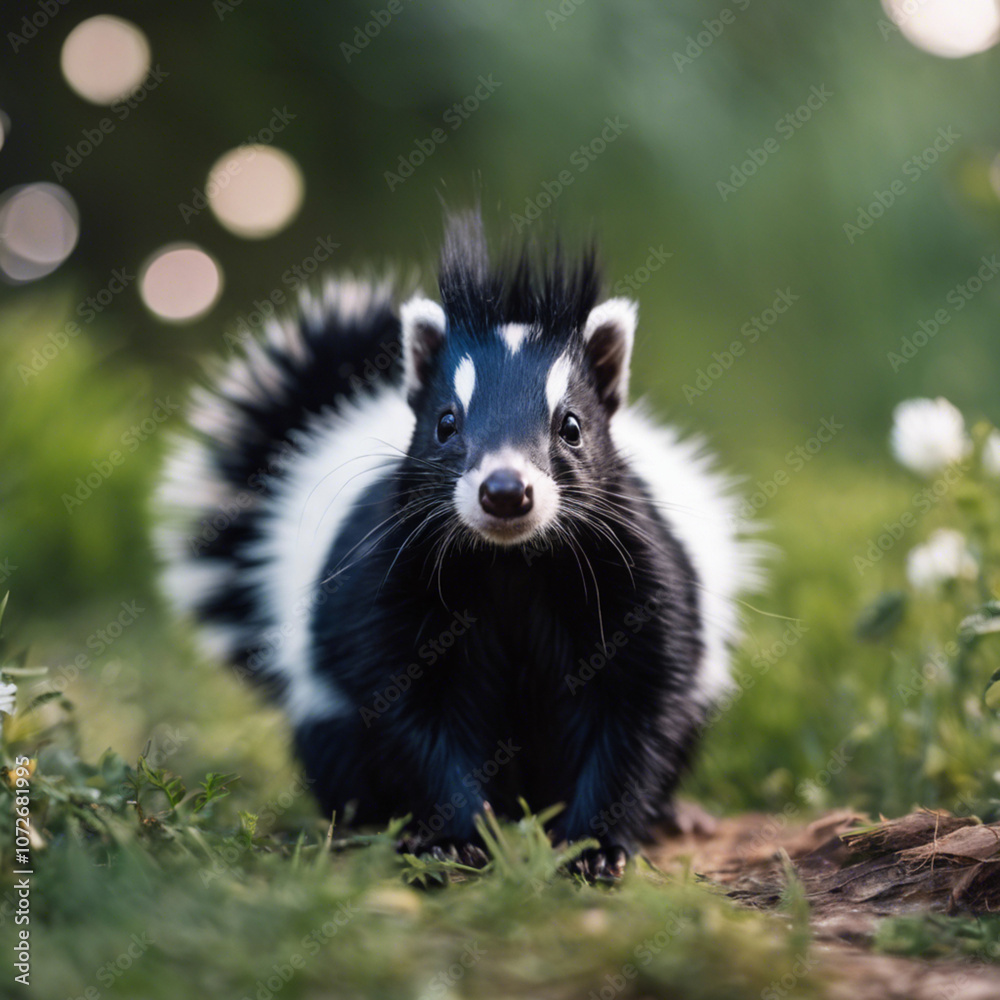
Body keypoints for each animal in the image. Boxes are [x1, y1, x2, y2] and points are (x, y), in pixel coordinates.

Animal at [158, 211, 756, 876]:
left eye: (571, 427)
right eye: (447, 423)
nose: (505, 490)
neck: (513, 565)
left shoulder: (630, 574)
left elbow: (638, 706)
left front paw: (594, 849)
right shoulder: (393, 585)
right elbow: (411, 711)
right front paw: (456, 839)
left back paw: (677, 813)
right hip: (324, 700)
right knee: (336, 747)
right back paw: (365, 822)